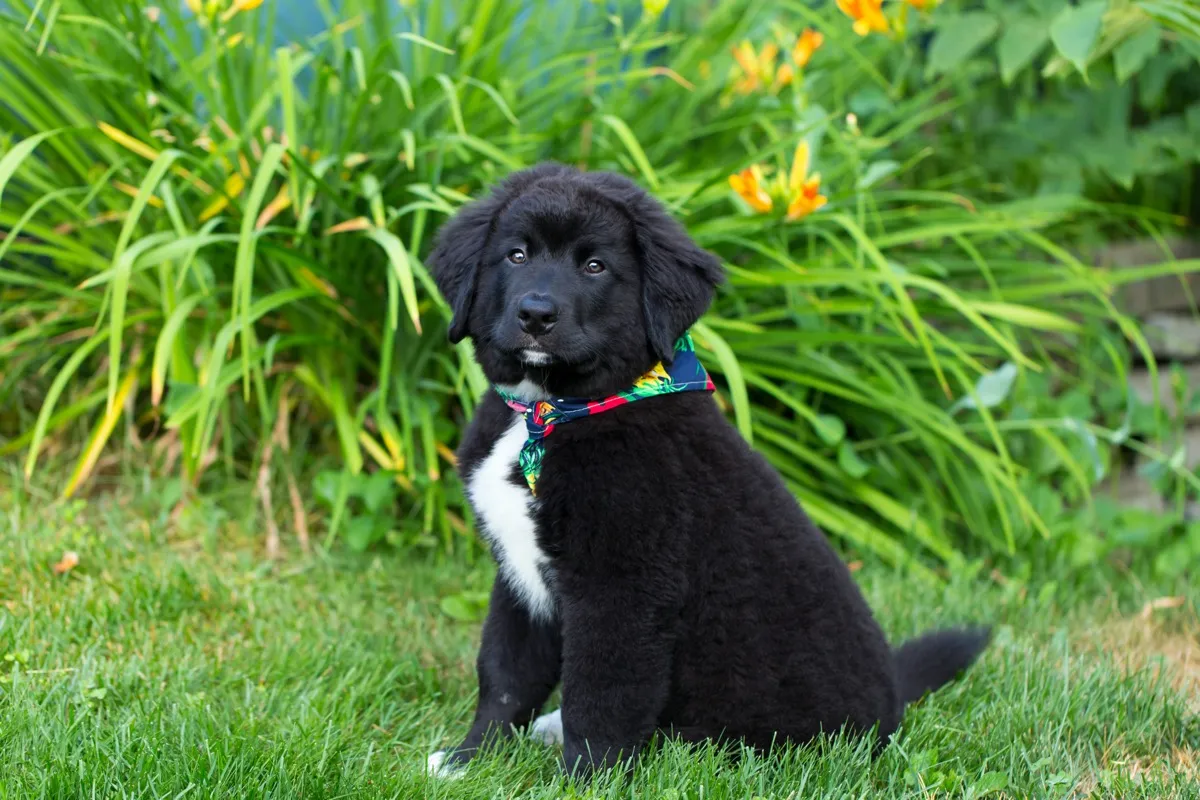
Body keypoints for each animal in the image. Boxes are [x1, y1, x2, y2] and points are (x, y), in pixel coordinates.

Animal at [427, 164, 988, 782]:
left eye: (595, 266)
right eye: (517, 255)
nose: (535, 314)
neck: (551, 411)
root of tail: (893, 701)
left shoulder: (623, 588)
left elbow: (599, 696)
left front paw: (582, 782)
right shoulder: (518, 575)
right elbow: (505, 675)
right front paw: (469, 760)